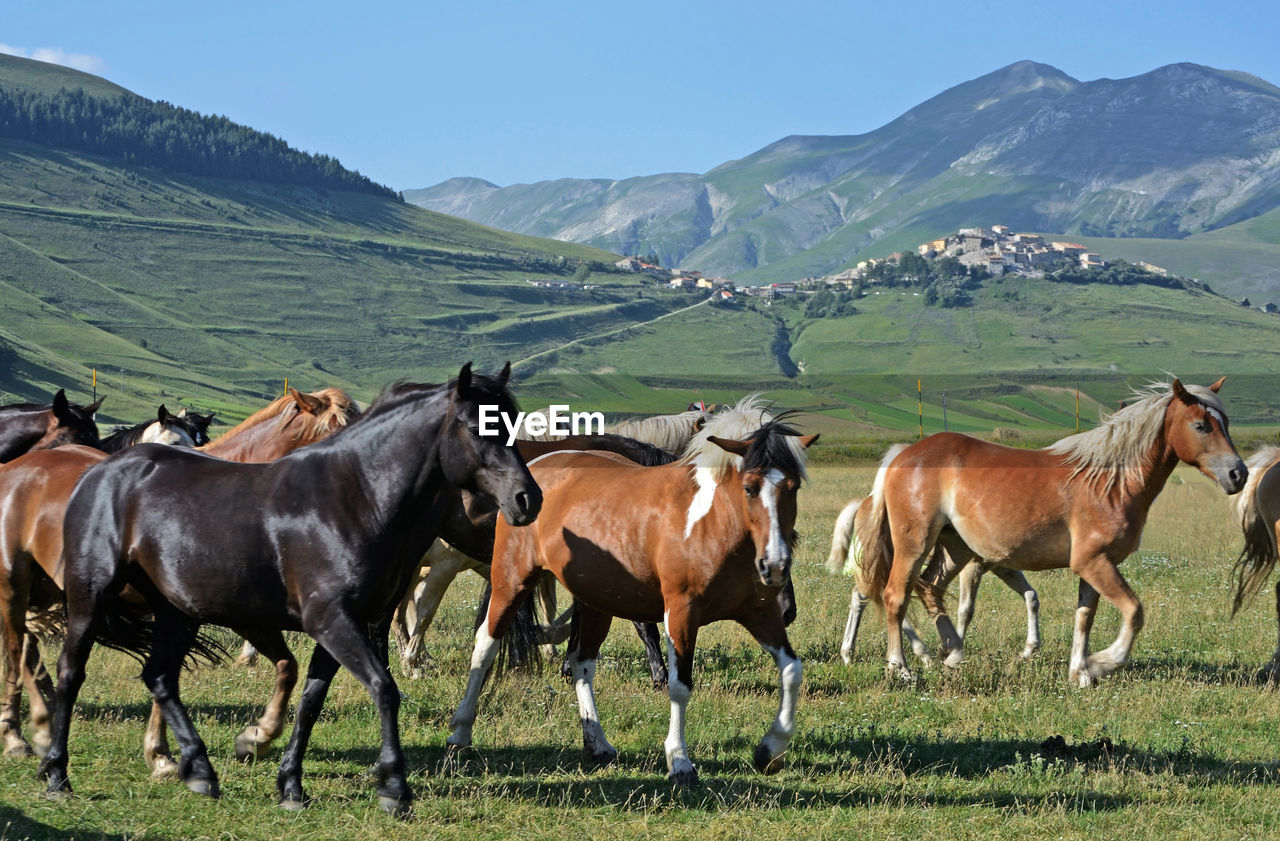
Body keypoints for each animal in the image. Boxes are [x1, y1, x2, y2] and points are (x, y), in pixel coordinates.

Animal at [40, 363, 540, 819]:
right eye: (478, 428)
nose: (527, 499)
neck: (353, 499)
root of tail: (100, 472)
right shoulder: (333, 622)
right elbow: (384, 690)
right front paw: (394, 789)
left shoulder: (342, 627)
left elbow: (310, 703)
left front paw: (289, 785)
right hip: (90, 599)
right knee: (71, 672)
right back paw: (57, 774)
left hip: (177, 611)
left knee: (160, 677)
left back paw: (198, 770)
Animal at [849, 376, 1239, 686]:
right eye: (1201, 426)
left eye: (1226, 423)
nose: (1238, 474)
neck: (1109, 483)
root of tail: (902, 455)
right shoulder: (1093, 562)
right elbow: (1134, 611)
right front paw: (1102, 663)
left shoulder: (1096, 565)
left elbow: (1084, 618)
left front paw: (1079, 672)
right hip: (914, 543)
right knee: (895, 596)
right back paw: (901, 668)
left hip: (955, 546)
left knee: (929, 587)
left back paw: (953, 651)